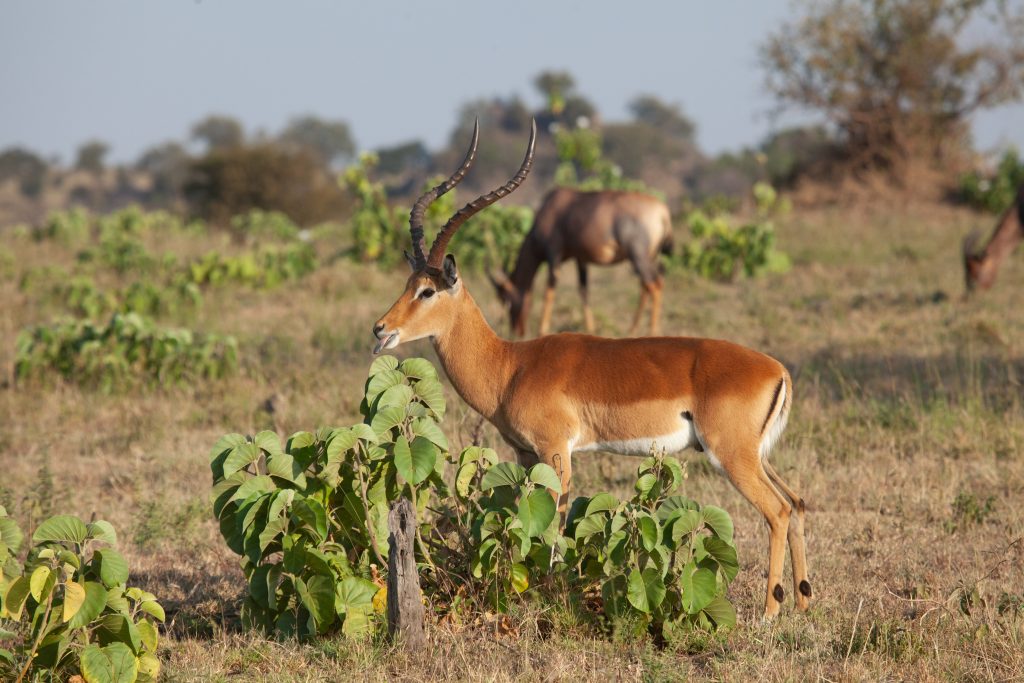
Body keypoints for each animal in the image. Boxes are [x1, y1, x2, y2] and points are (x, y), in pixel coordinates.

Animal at [487, 187, 671, 335]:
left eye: (505, 298)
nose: (517, 331)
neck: (552, 207)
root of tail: (662, 212)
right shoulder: (580, 259)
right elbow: (583, 290)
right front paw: (590, 328)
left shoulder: (554, 255)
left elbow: (549, 290)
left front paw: (542, 330)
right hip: (649, 256)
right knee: (648, 285)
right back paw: (633, 330)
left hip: (638, 256)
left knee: (654, 285)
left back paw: (653, 332)